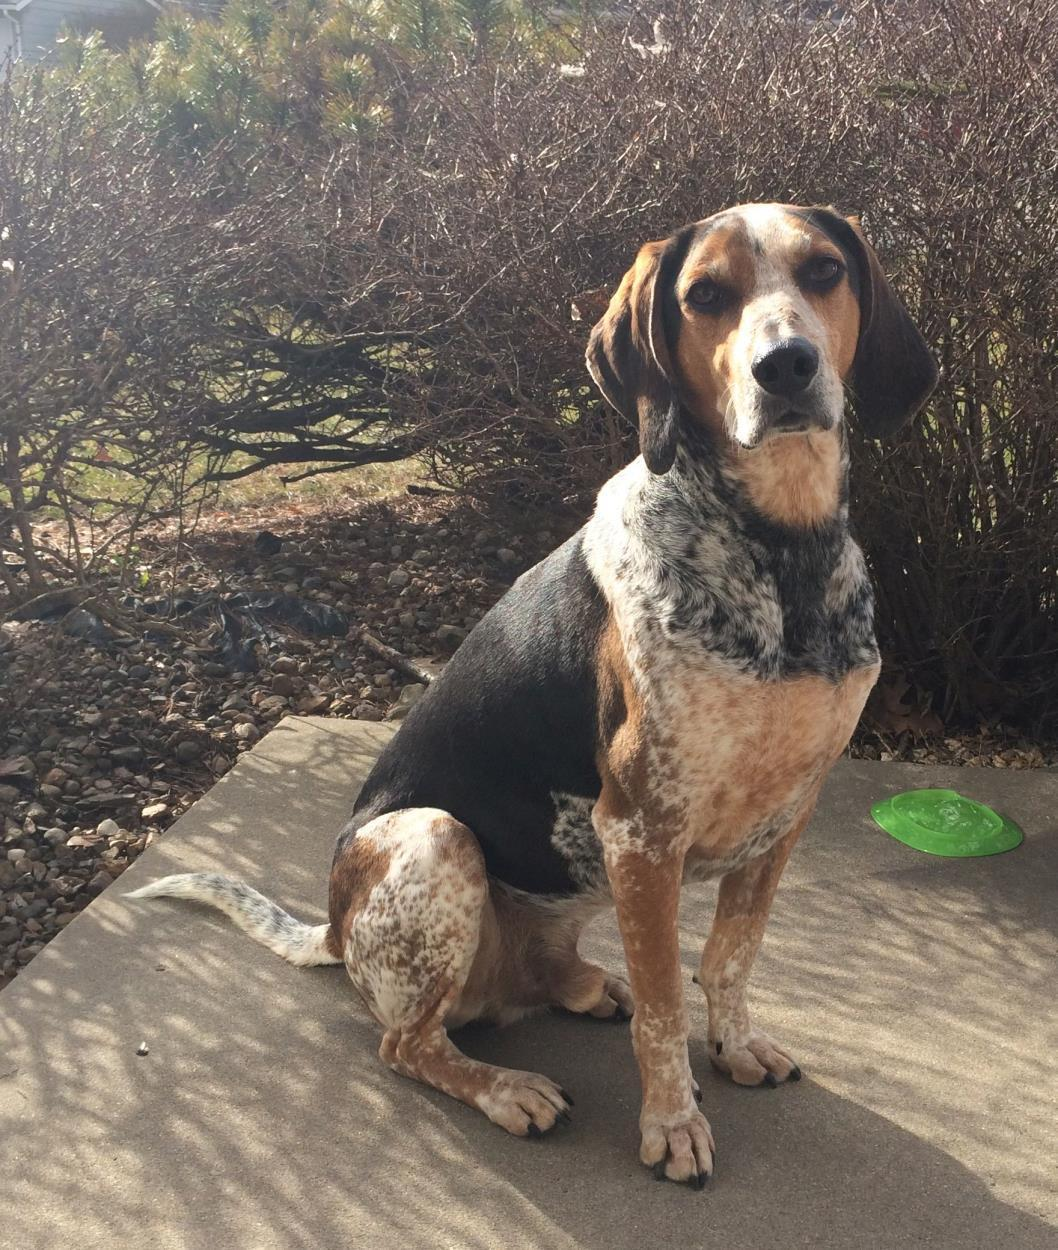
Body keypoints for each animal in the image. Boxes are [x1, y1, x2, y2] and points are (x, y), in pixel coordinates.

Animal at [130, 202, 935, 1190]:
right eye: (706, 295)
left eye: (823, 271)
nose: (784, 366)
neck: (781, 553)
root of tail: (335, 930)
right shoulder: (641, 830)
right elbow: (666, 1008)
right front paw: (673, 1125)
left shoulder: (785, 815)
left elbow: (728, 957)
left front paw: (734, 1045)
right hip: (437, 841)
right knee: (407, 1044)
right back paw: (507, 1088)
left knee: (549, 981)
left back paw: (584, 986)